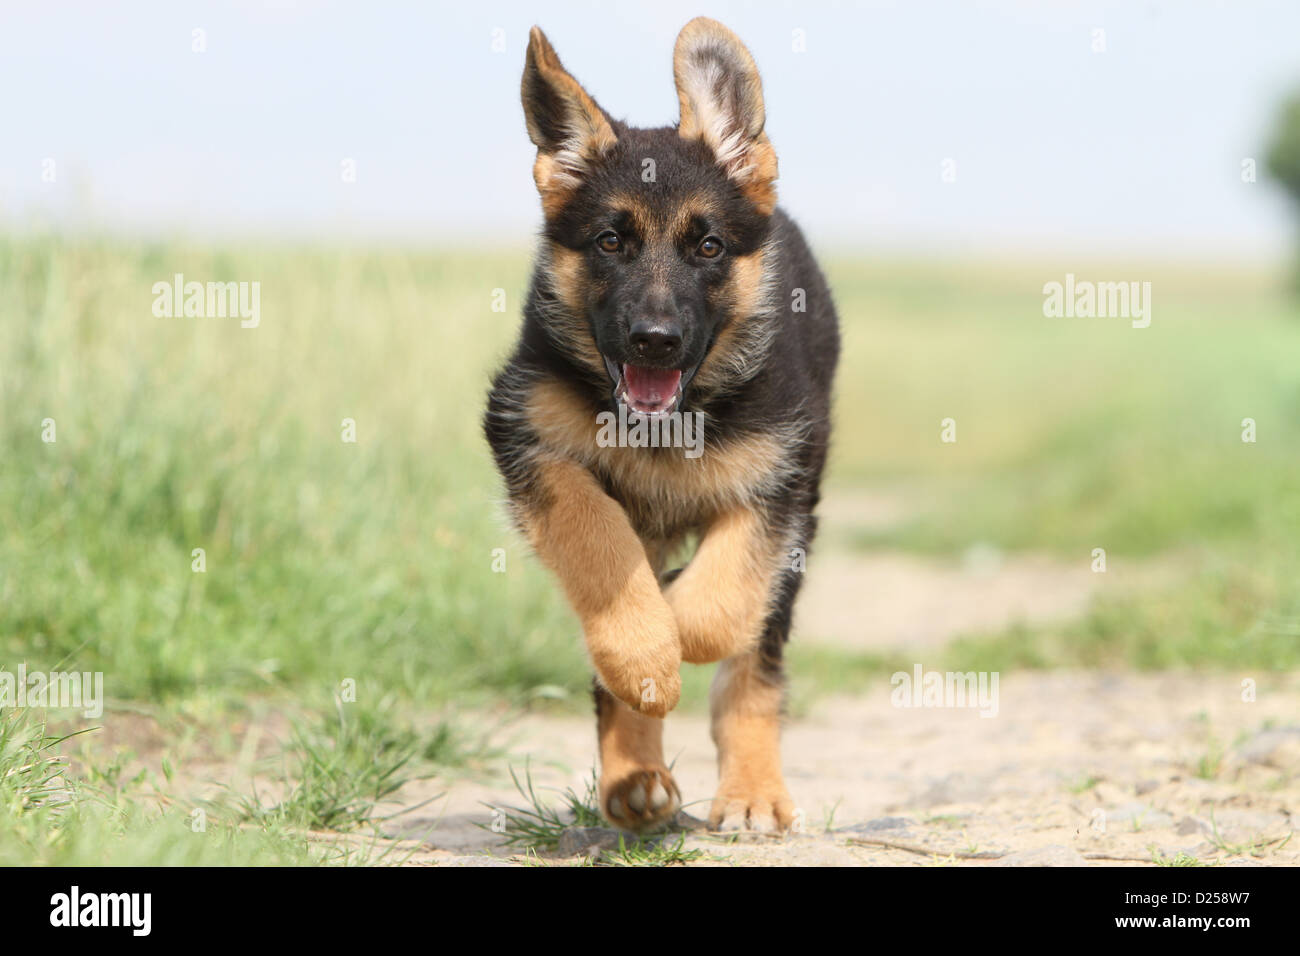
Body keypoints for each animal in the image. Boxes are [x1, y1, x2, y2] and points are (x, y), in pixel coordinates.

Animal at [483, 16, 837, 837]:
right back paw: (634, 778)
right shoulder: (527, 440)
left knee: (754, 666)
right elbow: (599, 545)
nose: (654, 341)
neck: (668, 427)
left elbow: (718, 608)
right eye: (610, 242)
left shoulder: (778, 488)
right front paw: (645, 654)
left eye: (708, 246)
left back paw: (752, 790)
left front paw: (675, 625)